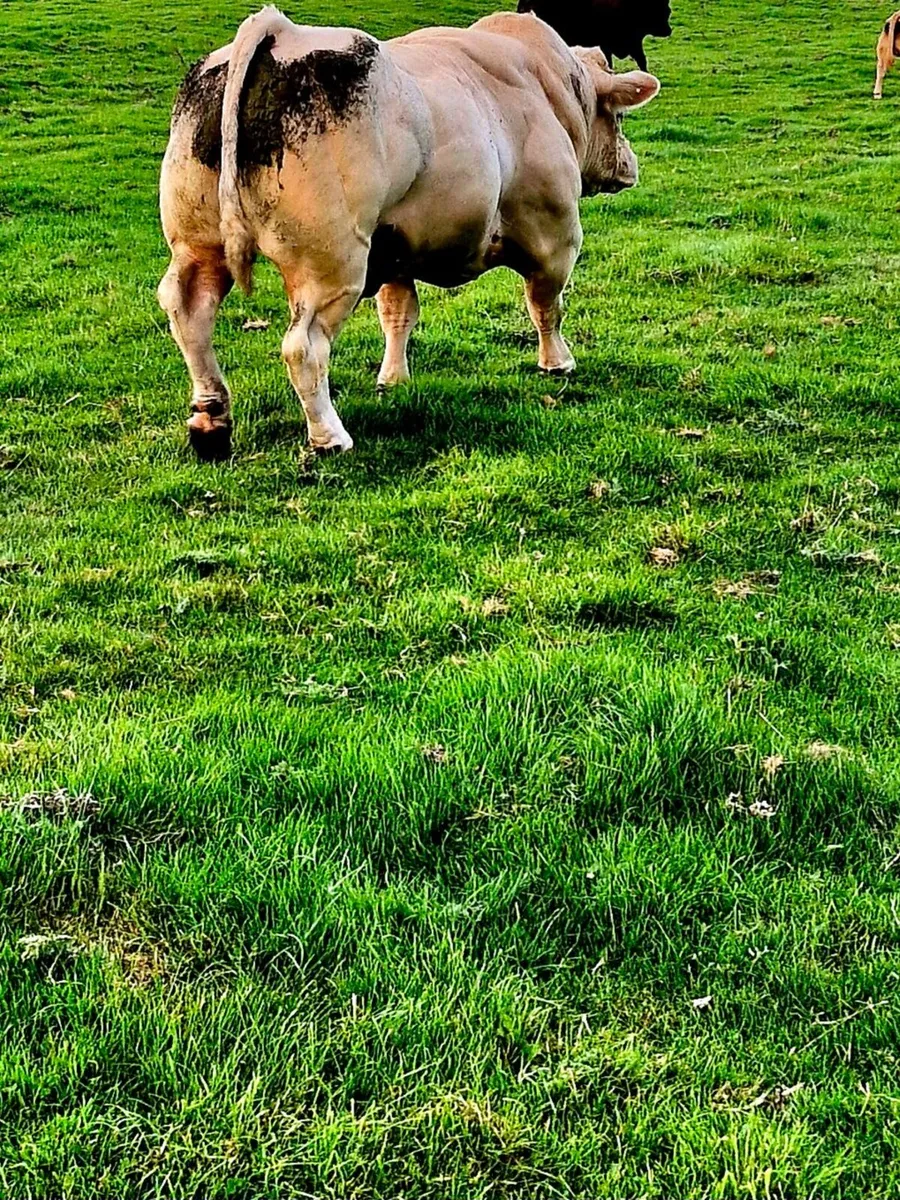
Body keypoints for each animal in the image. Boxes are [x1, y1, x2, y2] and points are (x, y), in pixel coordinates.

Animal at [158, 7, 659, 458]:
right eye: (618, 117)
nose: (630, 165)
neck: (547, 88)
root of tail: (284, 32)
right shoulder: (556, 236)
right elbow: (546, 307)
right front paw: (558, 363)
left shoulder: (394, 250)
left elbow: (398, 314)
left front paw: (394, 380)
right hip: (330, 264)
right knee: (304, 347)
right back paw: (329, 437)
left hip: (197, 244)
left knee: (190, 312)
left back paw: (211, 422)